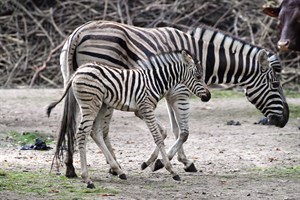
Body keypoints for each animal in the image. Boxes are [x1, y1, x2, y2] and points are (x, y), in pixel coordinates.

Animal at [47, 50, 211, 189]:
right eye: (198, 77)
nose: (208, 96)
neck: (155, 81)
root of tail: (77, 72)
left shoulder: (141, 111)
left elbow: (163, 132)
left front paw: (149, 163)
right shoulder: (146, 108)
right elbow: (158, 137)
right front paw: (171, 171)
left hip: (102, 105)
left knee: (96, 133)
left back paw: (119, 171)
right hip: (91, 105)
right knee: (82, 134)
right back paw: (87, 179)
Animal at [55, 20, 288, 178]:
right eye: (275, 85)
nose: (284, 120)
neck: (201, 56)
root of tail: (78, 33)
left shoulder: (170, 92)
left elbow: (175, 130)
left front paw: (180, 161)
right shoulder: (181, 91)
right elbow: (183, 132)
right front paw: (159, 162)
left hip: (73, 81)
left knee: (73, 123)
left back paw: (71, 168)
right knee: (99, 129)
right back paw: (114, 167)